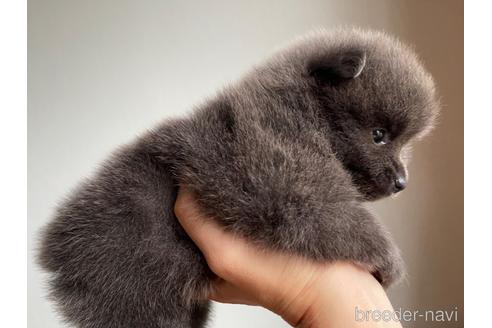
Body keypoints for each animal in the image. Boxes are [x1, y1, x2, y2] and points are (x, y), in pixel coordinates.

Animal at [38, 28, 438, 328]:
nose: (402, 182)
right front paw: (390, 260)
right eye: (379, 135)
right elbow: (339, 217)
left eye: (405, 143)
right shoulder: (279, 172)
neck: (302, 112)